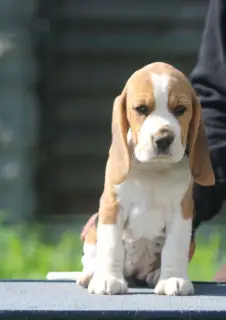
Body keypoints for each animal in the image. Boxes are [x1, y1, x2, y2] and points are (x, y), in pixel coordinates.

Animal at [77, 62, 215, 296]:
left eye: (180, 110)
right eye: (141, 109)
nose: (163, 139)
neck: (153, 168)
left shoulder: (182, 210)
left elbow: (174, 247)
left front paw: (173, 279)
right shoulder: (111, 206)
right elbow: (111, 245)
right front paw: (108, 278)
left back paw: (157, 274)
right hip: (92, 234)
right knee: (91, 256)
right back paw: (89, 275)